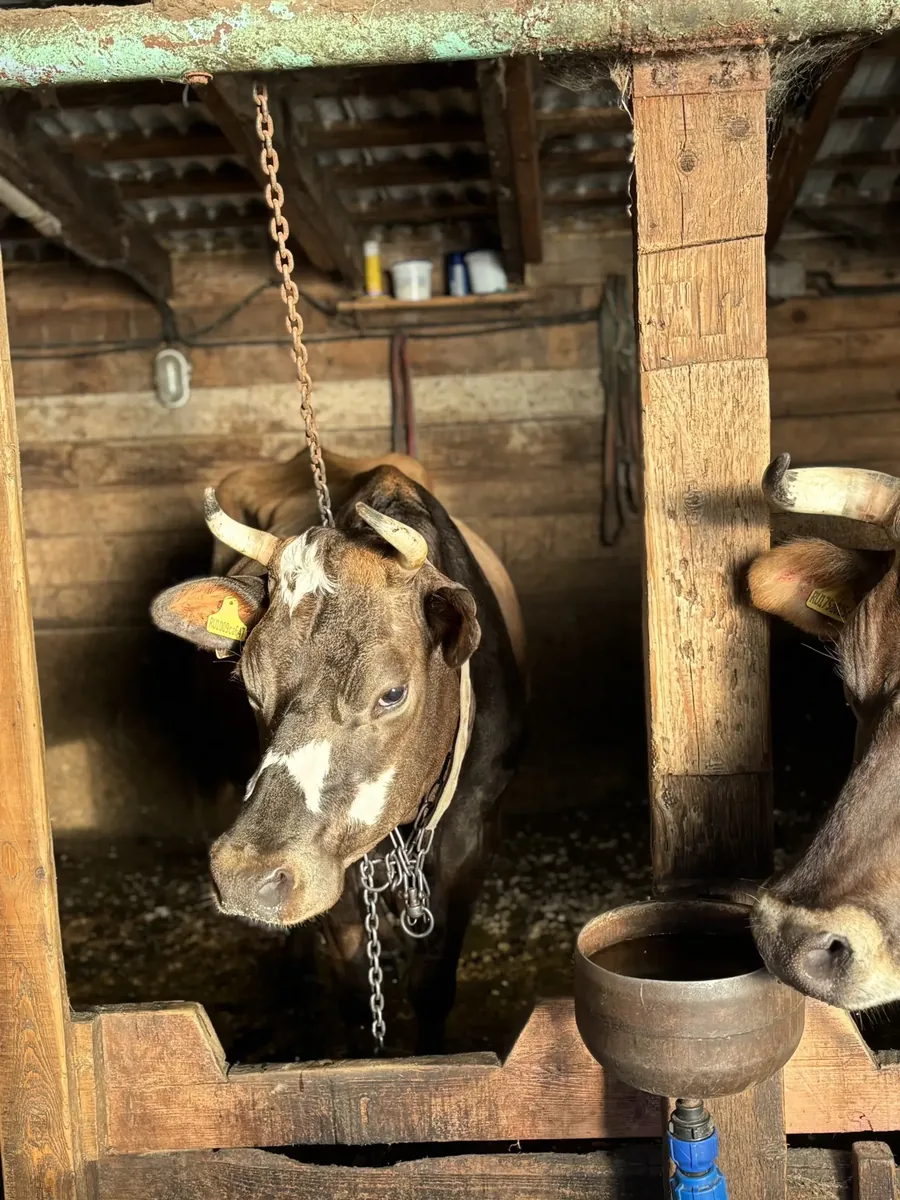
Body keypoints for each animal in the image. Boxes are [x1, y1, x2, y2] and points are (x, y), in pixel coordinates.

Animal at [150, 448, 526, 1051]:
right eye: (249, 686)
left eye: (391, 693)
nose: (245, 874)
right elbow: (352, 990)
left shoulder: (475, 830)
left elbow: (433, 984)